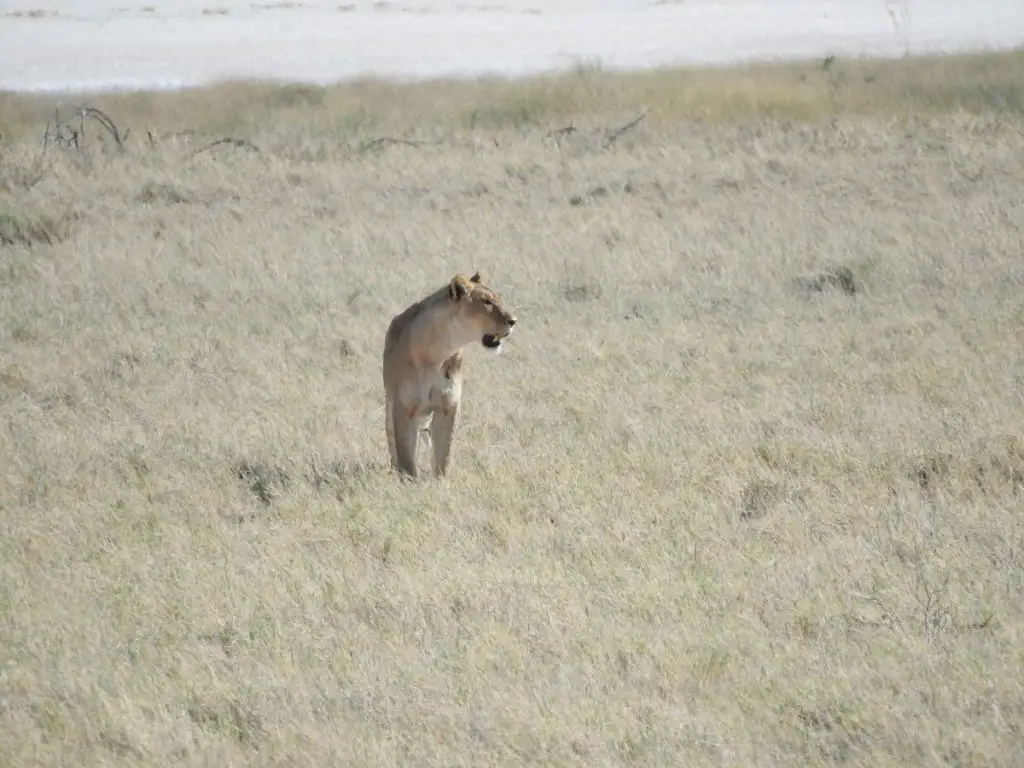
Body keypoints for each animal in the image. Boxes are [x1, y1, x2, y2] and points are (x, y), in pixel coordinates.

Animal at [380, 270, 516, 475]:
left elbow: (444, 455)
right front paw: (408, 480)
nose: (514, 321)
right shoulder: (404, 408)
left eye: (497, 299)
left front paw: (441, 481)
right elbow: (406, 458)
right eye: (487, 302)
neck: (438, 353)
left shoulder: (448, 406)